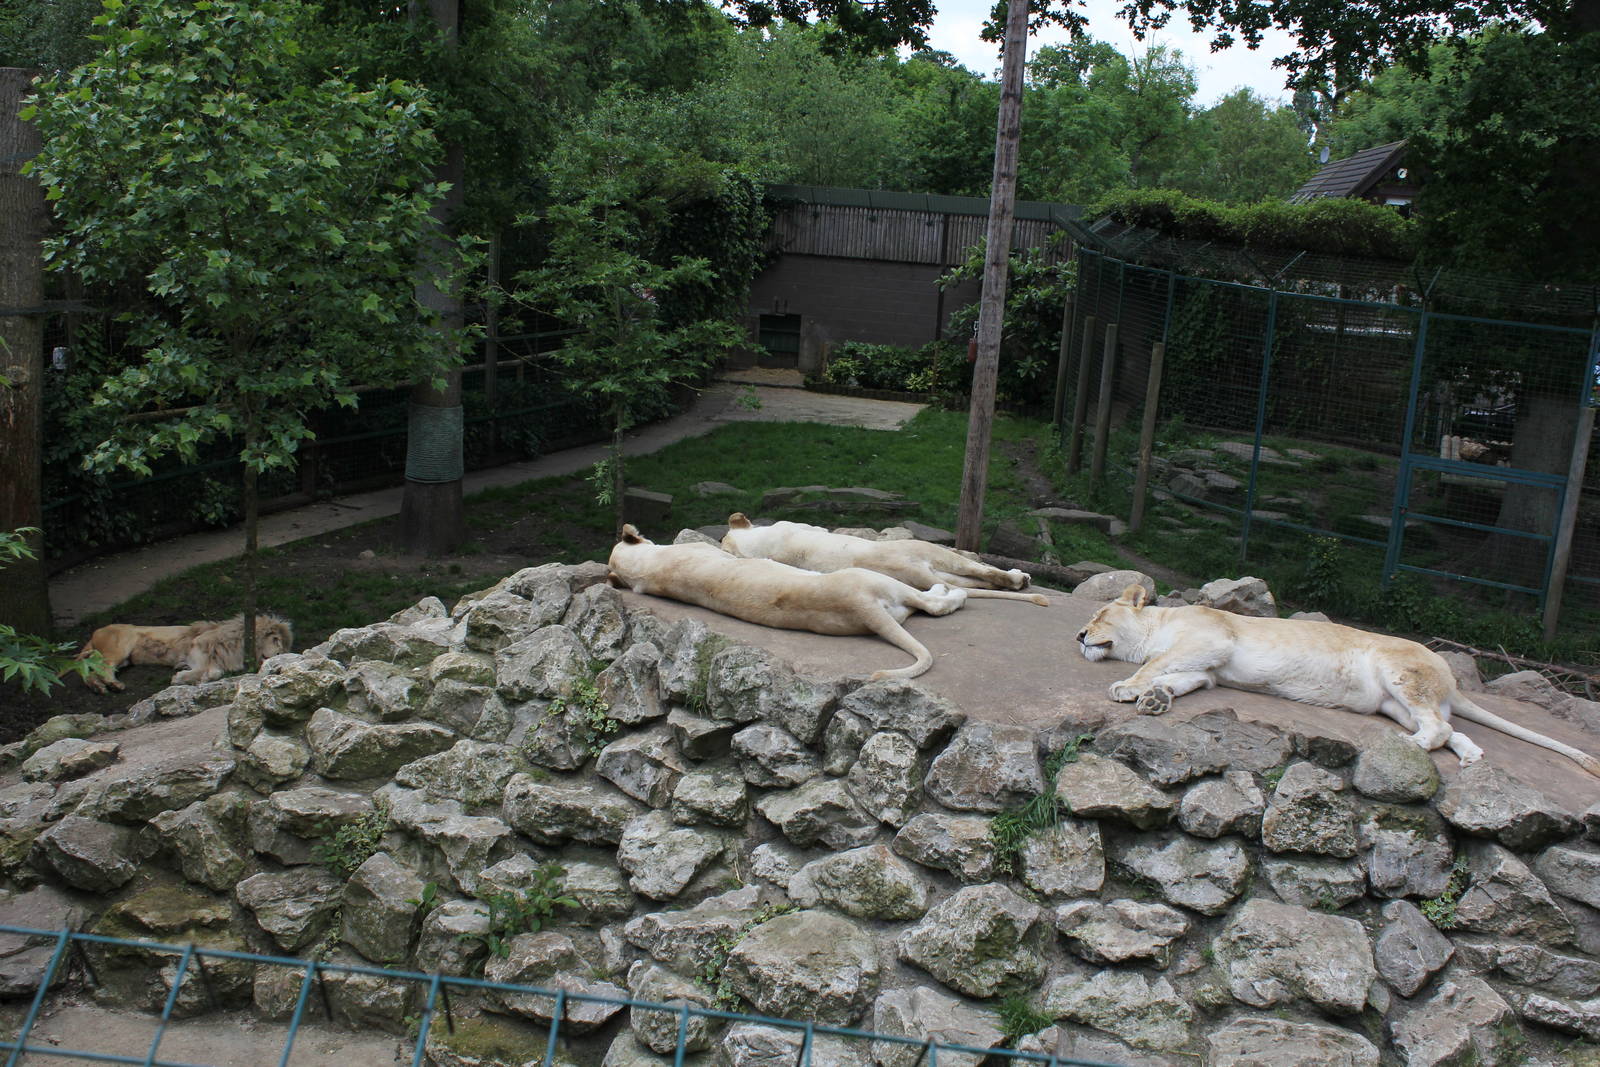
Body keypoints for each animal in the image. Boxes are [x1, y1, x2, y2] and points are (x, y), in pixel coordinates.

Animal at [77, 614, 293, 694]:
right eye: (276, 639)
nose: (280, 653)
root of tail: (96, 631)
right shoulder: (197, 645)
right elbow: (207, 668)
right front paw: (180, 677)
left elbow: (214, 671)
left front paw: (197, 678)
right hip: (119, 649)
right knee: (104, 668)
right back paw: (113, 684)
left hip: (121, 660)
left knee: (90, 673)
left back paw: (99, 687)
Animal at [721, 513, 1048, 605]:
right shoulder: (794, 526)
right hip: (932, 553)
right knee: (984, 573)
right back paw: (1019, 578)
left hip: (938, 571)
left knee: (977, 581)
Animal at [1076, 584, 1600, 776]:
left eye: (1099, 616)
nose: (1078, 634)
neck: (1158, 624)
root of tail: (1452, 677)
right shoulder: (1208, 670)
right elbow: (1181, 682)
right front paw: (1155, 700)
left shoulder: (1212, 639)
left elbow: (1154, 665)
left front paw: (1129, 687)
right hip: (1393, 705)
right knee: (1450, 727)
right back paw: (1471, 756)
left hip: (1399, 671)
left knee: (1435, 729)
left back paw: (1402, 751)